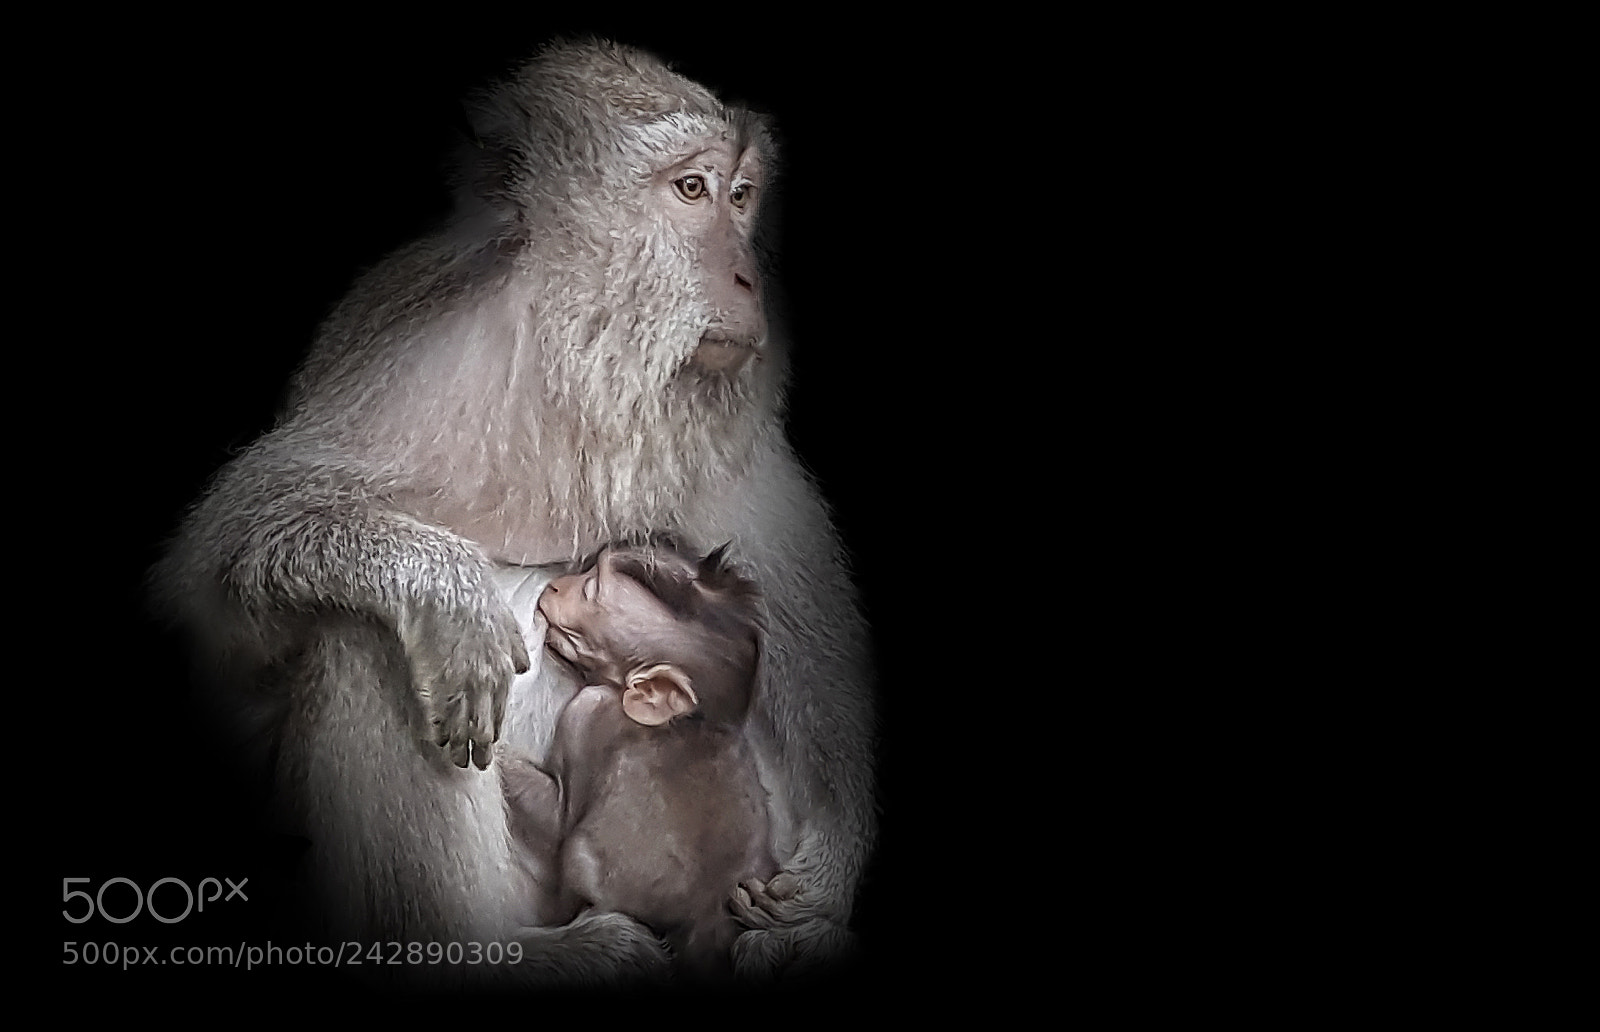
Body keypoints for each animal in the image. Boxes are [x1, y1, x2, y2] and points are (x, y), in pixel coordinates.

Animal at [501, 541, 778, 977]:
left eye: (590, 589)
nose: (556, 585)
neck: (692, 722)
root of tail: (706, 913)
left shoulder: (586, 711)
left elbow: (558, 817)